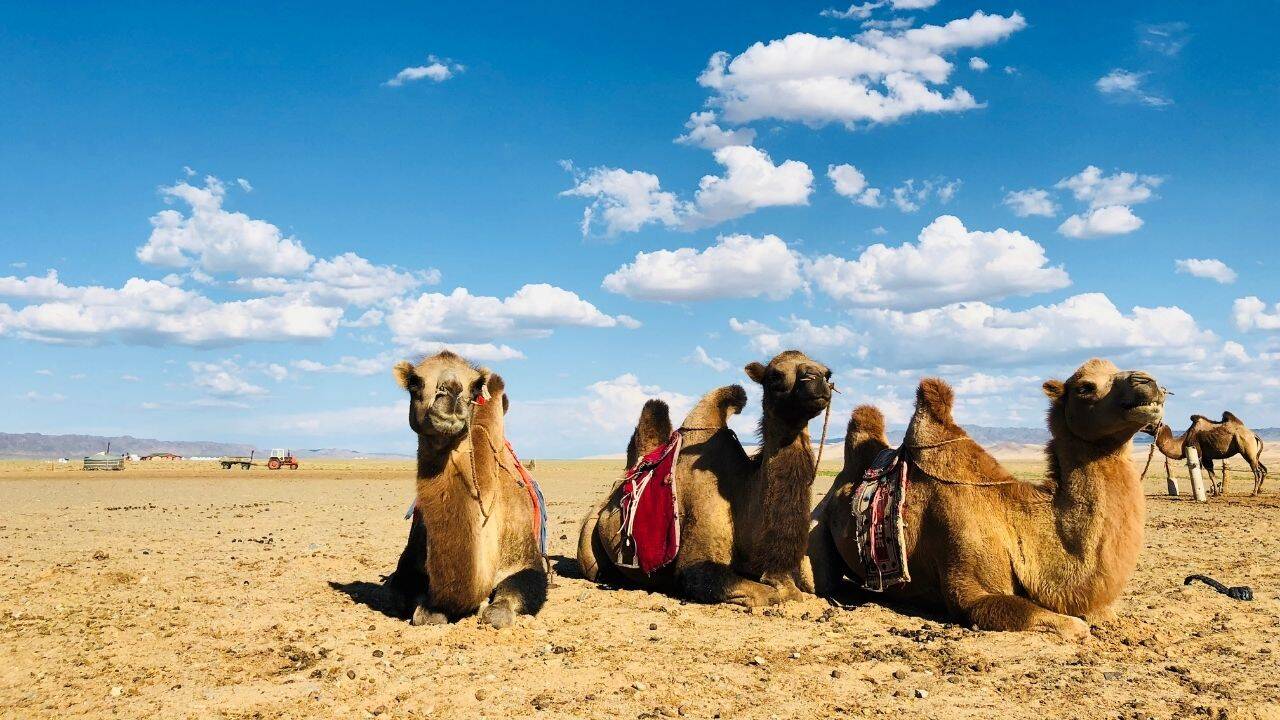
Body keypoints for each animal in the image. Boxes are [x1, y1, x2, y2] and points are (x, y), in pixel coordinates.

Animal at [384, 351, 547, 628]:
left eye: (475, 386)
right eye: (415, 382)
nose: (452, 389)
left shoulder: (525, 558)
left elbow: (500, 610)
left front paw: (485, 606)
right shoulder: (410, 559)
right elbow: (416, 605)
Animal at [577, 350, 833, 607]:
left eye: (828, 372)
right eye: (774, 376)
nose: (817, 377)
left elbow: (794, 590)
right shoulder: (697, 561)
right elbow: (768, 593)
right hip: (588, 541)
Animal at [810, 359, 1165, 641]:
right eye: (1085, 387)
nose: (1148, 382)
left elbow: (1104, 615)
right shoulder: (972, 585)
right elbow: (1073, 626)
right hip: (816, 527)